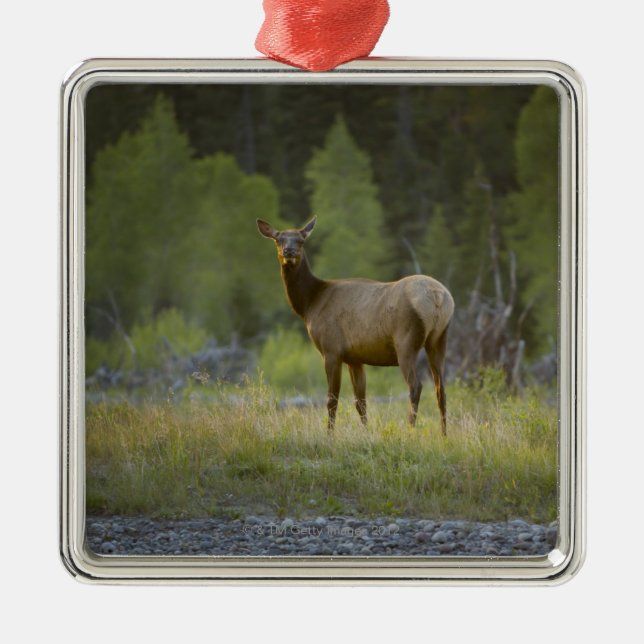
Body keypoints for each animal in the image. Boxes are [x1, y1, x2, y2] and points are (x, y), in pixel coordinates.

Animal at [257, 217, 455, 435]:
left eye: (301, 240)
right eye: (279, 239)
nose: (289, 251)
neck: (310, 305)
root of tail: (438, 296)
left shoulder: (331, 350)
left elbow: (332, 400)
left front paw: (329, 435)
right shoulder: (355, 358)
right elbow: (360, 402)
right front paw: (366, 433)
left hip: (406, 341)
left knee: (416, 386)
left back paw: (410, 430)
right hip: (439, 339)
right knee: (440, 389)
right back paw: (444, 434)